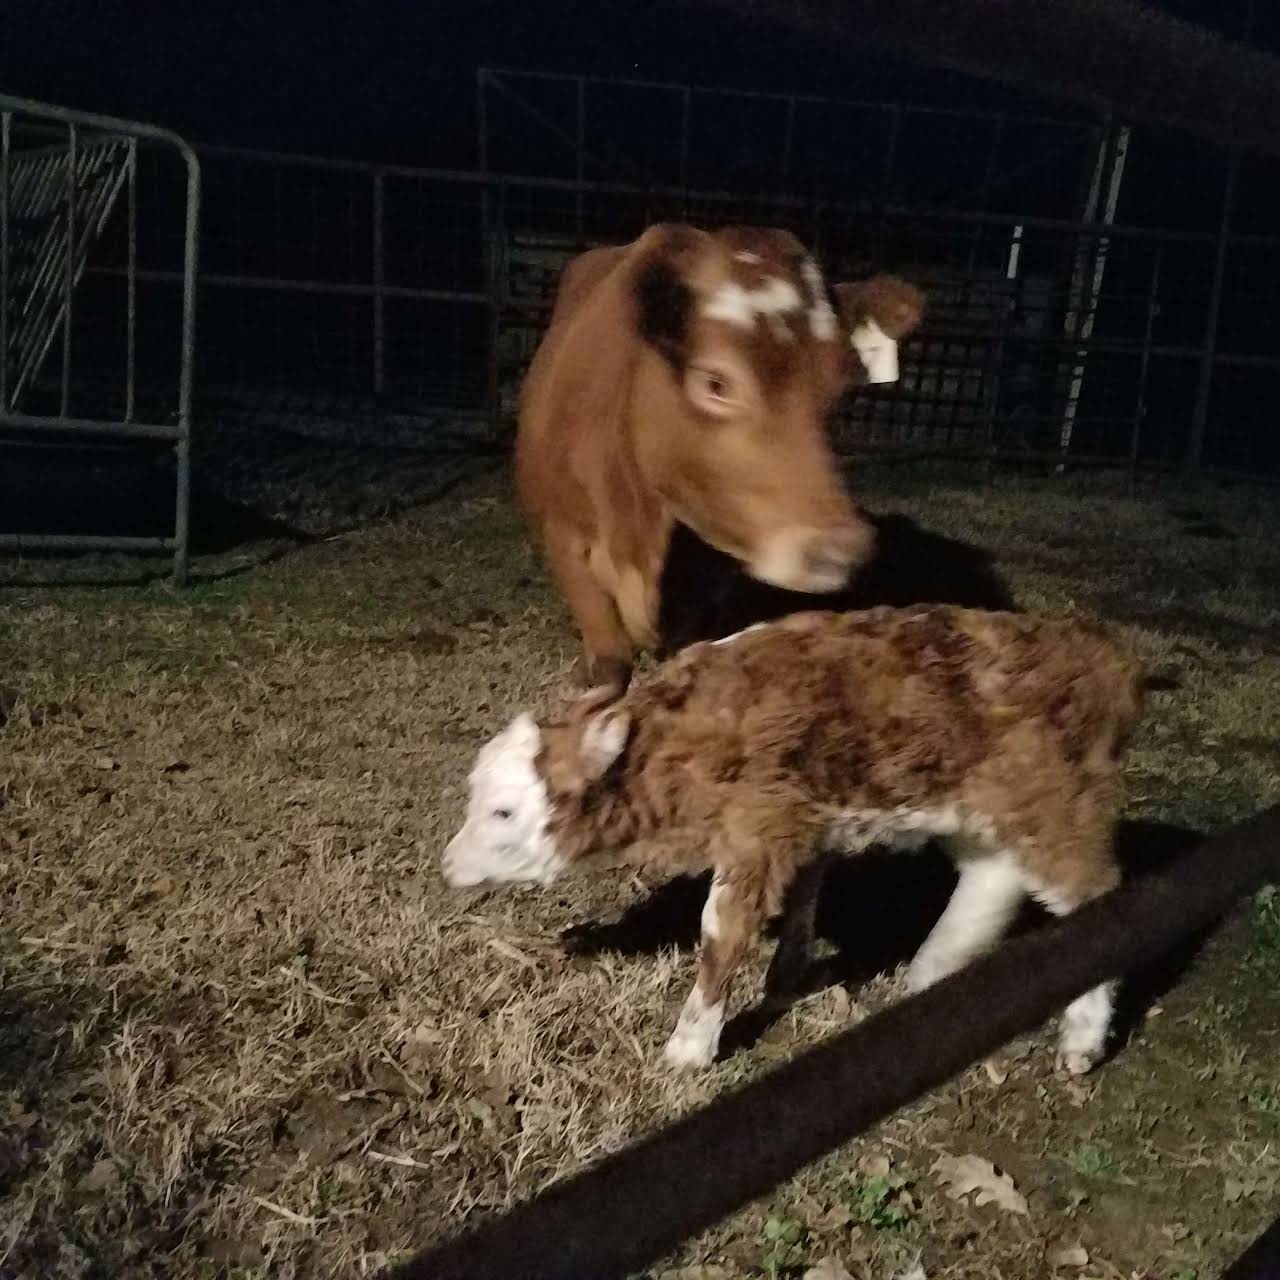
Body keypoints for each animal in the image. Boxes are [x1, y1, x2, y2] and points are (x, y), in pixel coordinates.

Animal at [440, 604, 1141, 1075]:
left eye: (503, 812)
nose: (447, 865)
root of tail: (1102, 658)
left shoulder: (756, 830)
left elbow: (719, 934)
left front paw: (689, 1050)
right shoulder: (803, 822)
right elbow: (805, 892)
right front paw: (786, 975)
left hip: (1048, 805)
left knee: (1095, 893)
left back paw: (1081, 1041)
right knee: (991, 874)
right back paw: (932, 970)